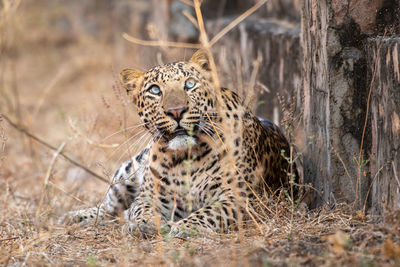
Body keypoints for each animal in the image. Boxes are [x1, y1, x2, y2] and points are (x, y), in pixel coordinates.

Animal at [61, 50, 298, 239]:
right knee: (108, 208)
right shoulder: (151, 196)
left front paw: (186, 227)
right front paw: (143, 223)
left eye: (190, 84)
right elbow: (140, 208)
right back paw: (74, 216)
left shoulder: (239, 198)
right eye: (155, 90)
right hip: (127, 172)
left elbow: (210, 212)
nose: (176, 111)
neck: (186, 156)